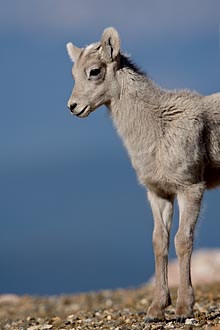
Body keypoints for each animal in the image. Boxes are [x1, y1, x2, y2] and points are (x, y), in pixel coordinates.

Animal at [65, 28, 220, 322]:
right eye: (73, 72)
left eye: (94, 71)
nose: (73, 106)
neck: (158, 127)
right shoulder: (159, 193)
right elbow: (159, 242)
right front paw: (156, 310)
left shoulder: (190, 188)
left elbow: (182, 241)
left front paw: (183, 309)